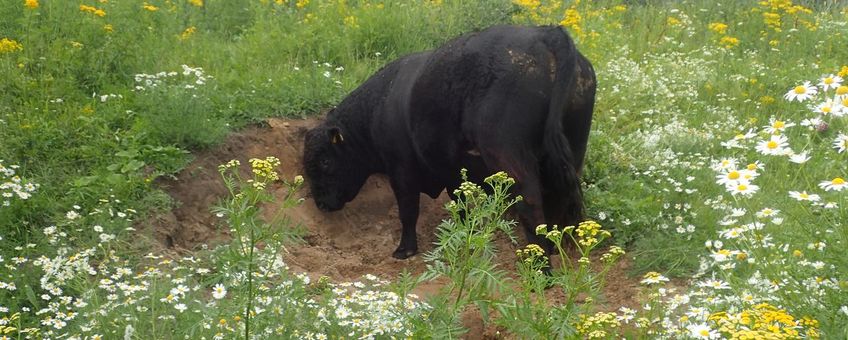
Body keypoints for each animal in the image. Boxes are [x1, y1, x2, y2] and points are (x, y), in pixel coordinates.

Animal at [304, 25, 596, 258]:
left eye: (325, 161)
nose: (320, 204)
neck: (383, 102)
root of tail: (545, 33)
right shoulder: (453, 173)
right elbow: (462, 206)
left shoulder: (401, 170)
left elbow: (408, 211)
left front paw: (404, 251)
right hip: (573, 151)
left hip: (508, 155)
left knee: (530, 201)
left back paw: (540, 266)